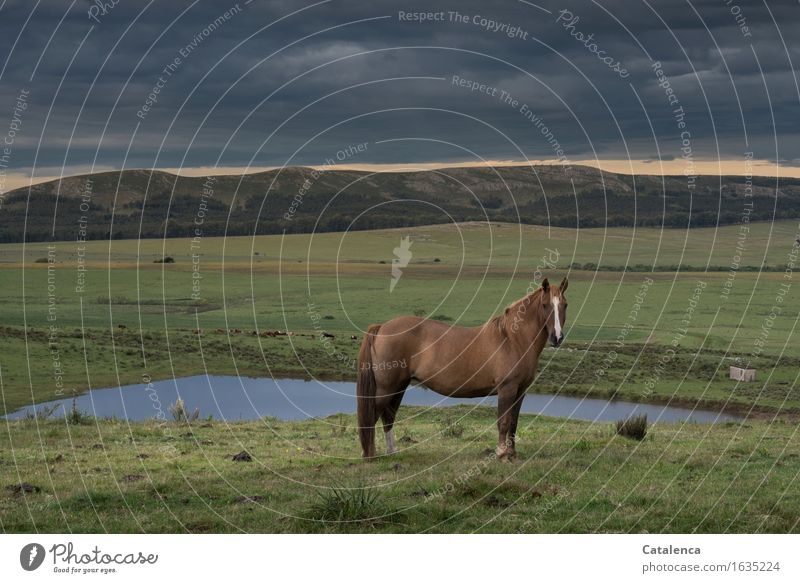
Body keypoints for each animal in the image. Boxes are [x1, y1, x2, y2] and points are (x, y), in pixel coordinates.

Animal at [356, 276, 568, 464]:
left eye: (564, 305)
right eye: (545, 305)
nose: (557, 337)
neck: (512, 339)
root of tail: (382, 328)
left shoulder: (520, 390)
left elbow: (514, 423)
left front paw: (513, 455)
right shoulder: (507, 389)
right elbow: (503, 422)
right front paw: (502, 456)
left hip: (400, 385)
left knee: (388, 416)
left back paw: (392, 452)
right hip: (386, 387)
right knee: (373, 415)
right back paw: (369, 455)